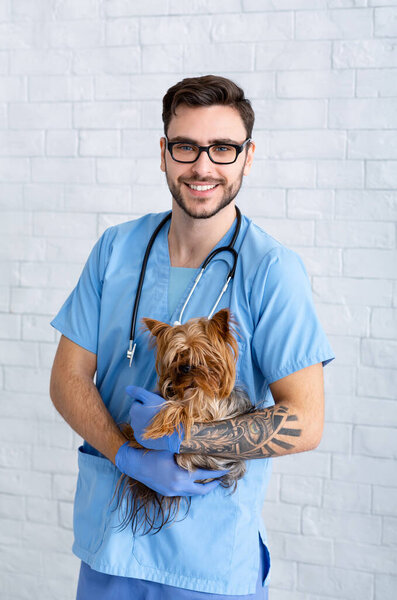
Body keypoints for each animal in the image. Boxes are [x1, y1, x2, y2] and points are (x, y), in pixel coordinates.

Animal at [114, 310, 251, 536]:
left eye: (201, 355)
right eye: (177, 355)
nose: (185, 367)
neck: (192, 386)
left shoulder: (211, 408)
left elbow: (183, 408)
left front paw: (154, 428)